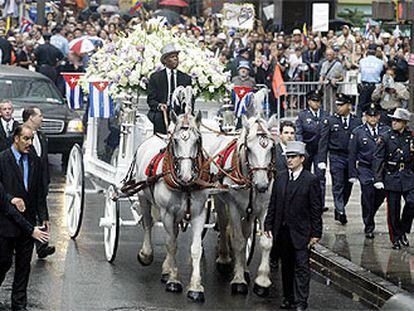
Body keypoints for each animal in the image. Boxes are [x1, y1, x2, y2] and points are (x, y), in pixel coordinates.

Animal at [136, 109, 212, 302]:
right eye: (176, 141)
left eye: (198, 140)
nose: (186, 176)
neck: (185, 186)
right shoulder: (167, 213)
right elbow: (171, 245)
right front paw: (174, 280)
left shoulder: (199, 213)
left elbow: (195, 248)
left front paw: (195, 287)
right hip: (143, 197)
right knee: (147, 224)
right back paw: (146, 254)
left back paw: (165, 268)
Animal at [203, 114, 276, 298]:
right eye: (249, 149)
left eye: (271, 148)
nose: (262, 186)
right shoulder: (234, 207)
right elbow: (238, 241)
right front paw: (238, 280)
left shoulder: (264, 209)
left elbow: (265, 242)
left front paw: (262, 281)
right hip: (220, 199)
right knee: (223, 225)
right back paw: (224, 258)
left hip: (250, 212)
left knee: (246, 231)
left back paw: (244, 268)